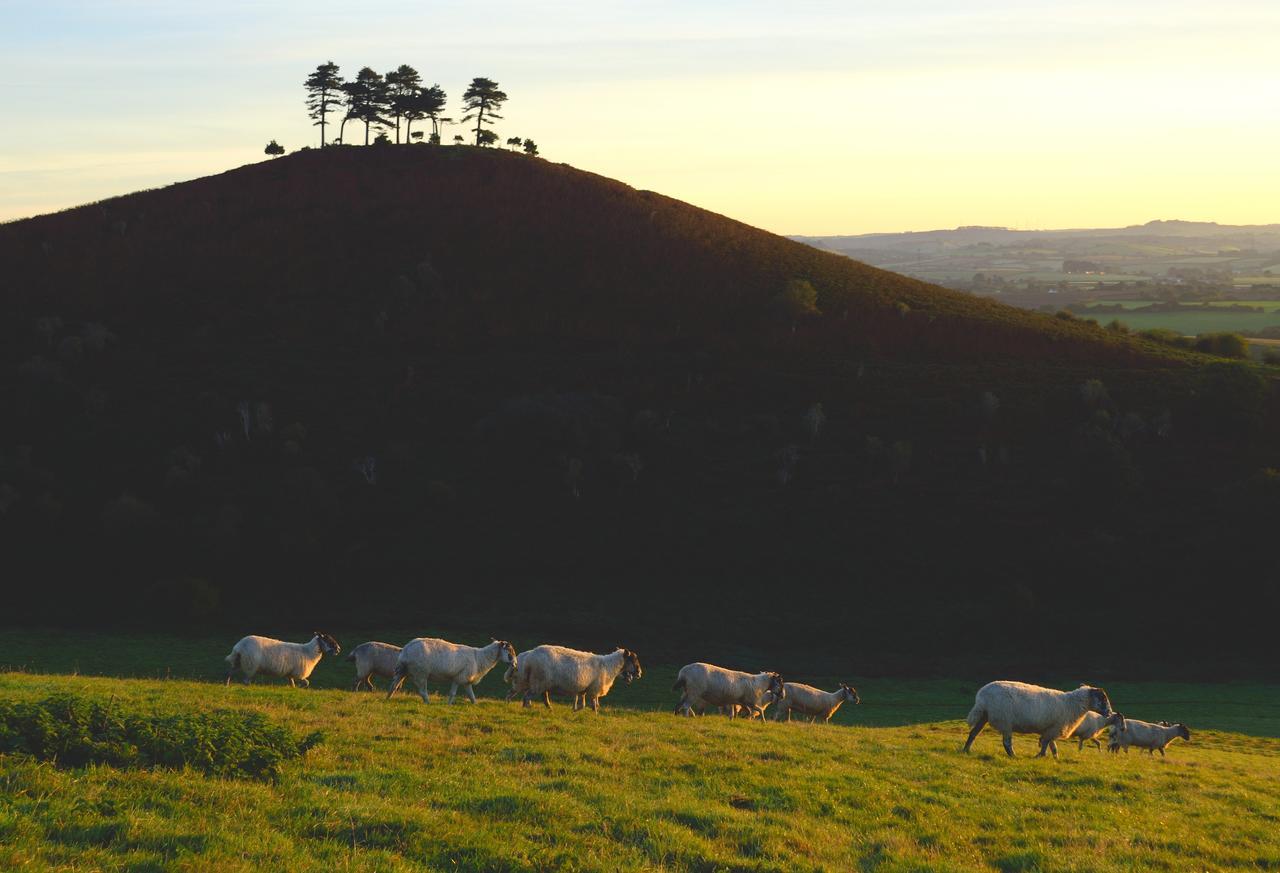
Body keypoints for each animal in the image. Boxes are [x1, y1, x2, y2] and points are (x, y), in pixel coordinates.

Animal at [386, 634, 517, 701]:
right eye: (509, 650)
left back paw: (387, 699)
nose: (515, 665)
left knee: (393, 686)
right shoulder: (460, 678)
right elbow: (453, 694)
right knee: (423, 692)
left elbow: (471, 696)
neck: (480, 657)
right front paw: (449, 705)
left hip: (402, 671)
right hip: (420, 673)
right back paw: (428, 703)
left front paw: (474, 705)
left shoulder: (464, 680)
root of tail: (407, 649)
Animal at [506, 642, 640, 711]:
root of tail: (529, 654)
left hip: (529, 681)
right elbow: (594, 704)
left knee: (517, 694)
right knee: (527, 697)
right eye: (633, 659)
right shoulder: (594, 689)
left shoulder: (584, 689)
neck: (609, 666)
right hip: (538, 682)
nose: (639, 673)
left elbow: (583, 703)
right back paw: (528, 709)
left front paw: (575, 710)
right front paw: (595, 714)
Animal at [957, 670, 1116, 752]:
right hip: (1005, 720)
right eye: (1103, 698)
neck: (1072, 704)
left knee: (973, 734)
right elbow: (1047, 745)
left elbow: (1052, 747)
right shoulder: (1054, 728)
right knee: (1007, 743)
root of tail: (981, 696)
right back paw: (1013, 756)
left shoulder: (1050, 729)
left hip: (984, 716)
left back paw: (966, 750)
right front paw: (1041, 756)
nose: (1109, 713)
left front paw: (1054, 759)